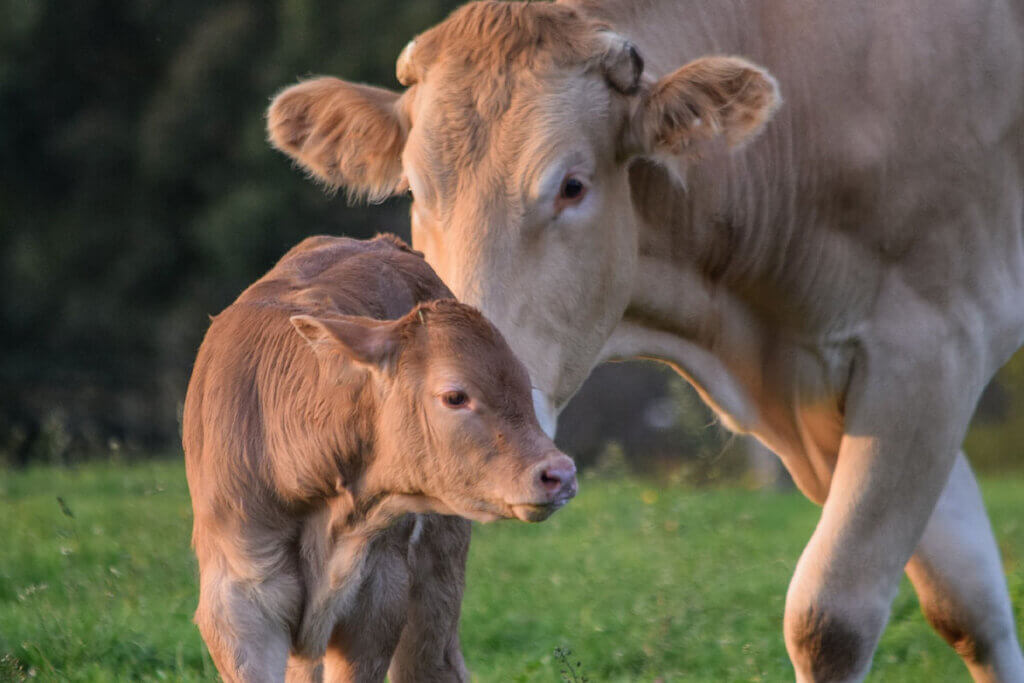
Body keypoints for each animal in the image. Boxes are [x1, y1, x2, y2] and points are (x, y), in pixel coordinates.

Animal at [183, 232, 577, 679]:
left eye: (524, 384)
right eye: (455, 396)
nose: (560, 474)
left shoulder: (378, 601)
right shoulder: (238, 606)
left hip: (438, 570)